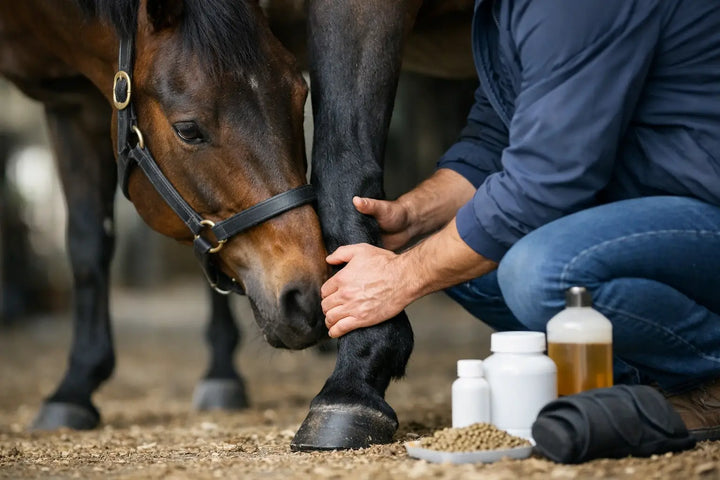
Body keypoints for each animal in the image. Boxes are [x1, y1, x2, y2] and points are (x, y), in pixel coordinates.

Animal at [0, 0, 328, 431]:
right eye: (187, 130)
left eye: (300, 96)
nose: (308, 297)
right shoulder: (69, 103)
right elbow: (88, 247)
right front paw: (74, 388)